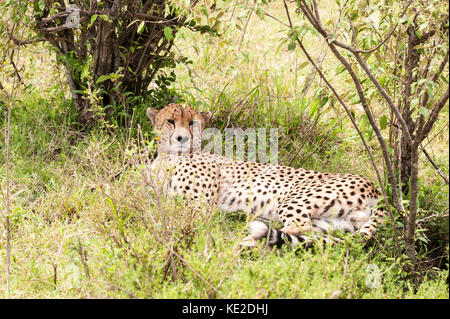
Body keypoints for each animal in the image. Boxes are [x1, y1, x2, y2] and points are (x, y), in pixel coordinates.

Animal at [146, 104, 384, 249]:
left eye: (192, 123)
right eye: (170, 121)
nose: (182, 138)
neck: (169, 156)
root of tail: (374, 186)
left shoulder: (200, 205)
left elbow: (171, 214)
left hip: (293, 199)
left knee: (298, 229)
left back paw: (247, 243)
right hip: (334, 223)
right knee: (310, 235)